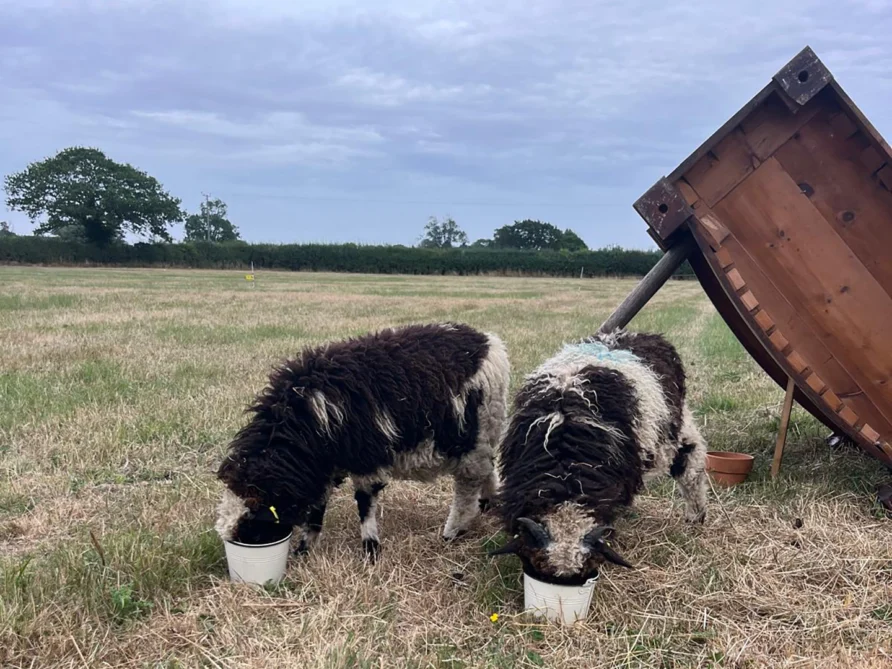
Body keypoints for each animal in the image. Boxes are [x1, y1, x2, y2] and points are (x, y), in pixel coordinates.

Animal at [214, 322, 510, 561]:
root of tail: (489, 341)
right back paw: (488, 502)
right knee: (487, 469)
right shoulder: (325, 463)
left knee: (467, 486)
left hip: (474, 431)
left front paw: (370, 549)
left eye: (253, 523)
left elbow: (365, 503)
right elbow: (318, 506)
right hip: (484, 435)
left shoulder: (366, 457)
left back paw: (453, 531)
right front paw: (306, 548)